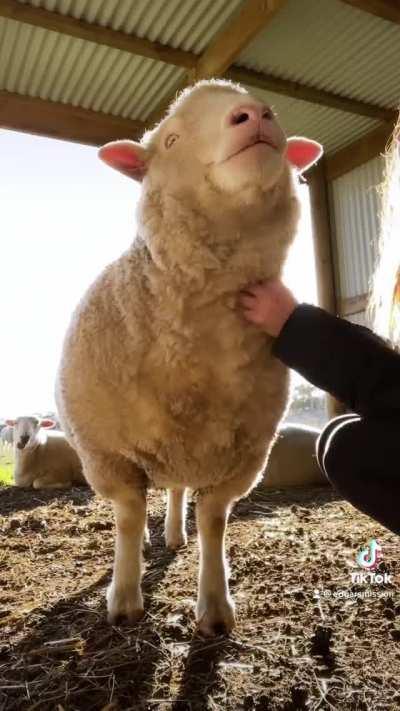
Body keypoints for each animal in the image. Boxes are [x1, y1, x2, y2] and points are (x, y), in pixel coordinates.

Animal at [56, 79, 322, 635]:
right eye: (172, 140)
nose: (254, 114)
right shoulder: (107, 455)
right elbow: (128, 517)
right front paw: (124, 597)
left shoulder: (243, 459)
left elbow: (213, 522)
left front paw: (215, 608)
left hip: (183, 452)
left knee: (177, 491)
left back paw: (175, 534)